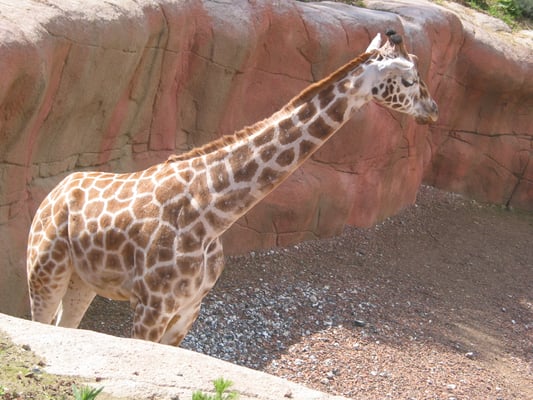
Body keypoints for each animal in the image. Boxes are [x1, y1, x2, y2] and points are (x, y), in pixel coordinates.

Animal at [27, 30, 438, 346]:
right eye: (409, 80)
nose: (433, 109)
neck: (212, 213)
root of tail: (54, 193)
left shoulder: (188, 309)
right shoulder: (151, 306)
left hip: (82, 280)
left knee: (66, 326)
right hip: (45, 270)